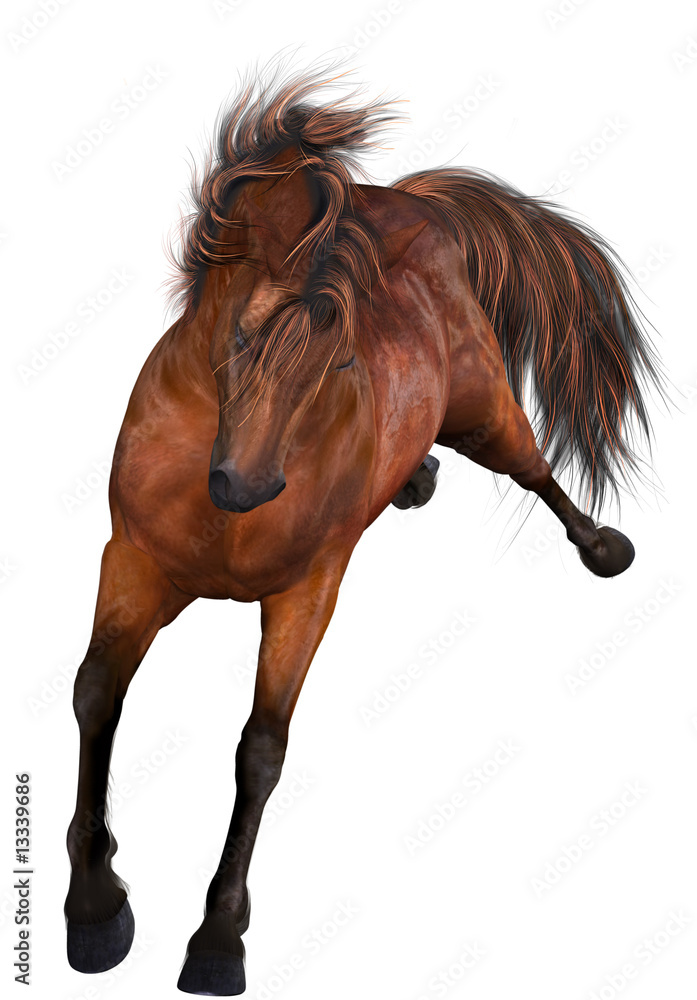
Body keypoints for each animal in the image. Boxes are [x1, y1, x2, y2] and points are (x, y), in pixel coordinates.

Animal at [64, 61, 664, 996]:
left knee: (532, 468)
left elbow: (260, 750)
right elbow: (97, 692)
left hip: (484, 408)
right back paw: (413, 478)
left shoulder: (306, 594)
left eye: (341, 357)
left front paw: (218, 937)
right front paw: (95, 905)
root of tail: (411, 199)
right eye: (242, 336)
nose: (245, 487)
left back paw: (604, 548)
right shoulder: (132, 563)